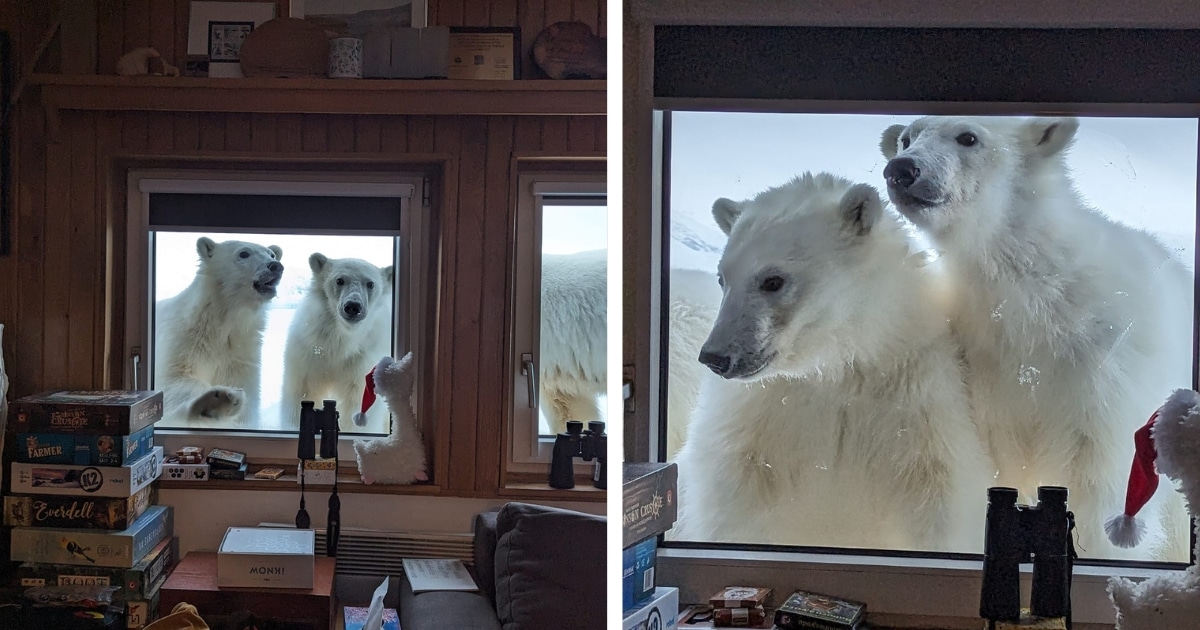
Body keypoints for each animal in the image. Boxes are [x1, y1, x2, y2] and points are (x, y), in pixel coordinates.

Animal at [154, 238, 283, 424]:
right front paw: (219, 400)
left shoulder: (240, 353)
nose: (275, 266)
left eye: (272, 254)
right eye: (244, 253)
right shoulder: (182, 340)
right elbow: (171, 379)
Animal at [280, 253, 393, 429]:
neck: (341, 341)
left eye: (370, 283)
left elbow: (357, 401)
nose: (353, 306)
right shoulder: (309, 349)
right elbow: (301, 392)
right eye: (340, 280)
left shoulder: (363, 359)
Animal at [676, 171, 993, 549]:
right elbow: (727, 505)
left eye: (773, 280)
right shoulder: (753, 424)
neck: (835, 366)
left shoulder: (915, 405)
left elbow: (943, 502)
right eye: (722, 278)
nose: (715, 356)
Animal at [878, 115, 1195, 556]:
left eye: (968, 137)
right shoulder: (988, 369)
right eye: (907, 138)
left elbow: (1098, 479)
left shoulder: (1103, 373)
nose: (902, 170)